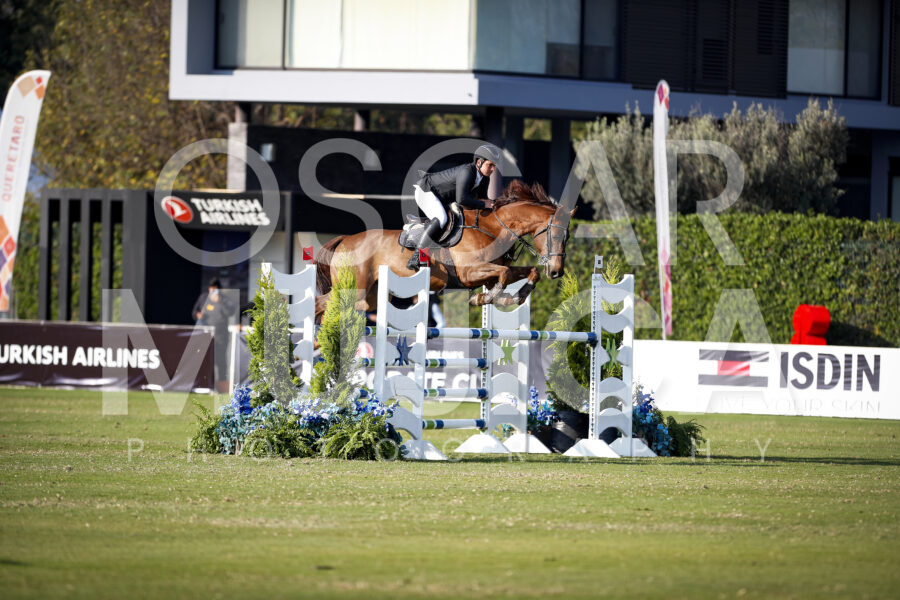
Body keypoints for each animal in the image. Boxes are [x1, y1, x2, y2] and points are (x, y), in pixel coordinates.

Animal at [314, 180, 574, 321]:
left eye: (568, 237)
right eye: (555, 235)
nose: (556, 272)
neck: (493, 228)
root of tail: (345, 240)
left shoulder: (489, 273)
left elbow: (527, 272)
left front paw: (513, 296)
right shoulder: (470, 273)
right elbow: (504, 274)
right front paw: (483, 298)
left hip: (370, 298)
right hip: (352, 288)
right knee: (321, 303)